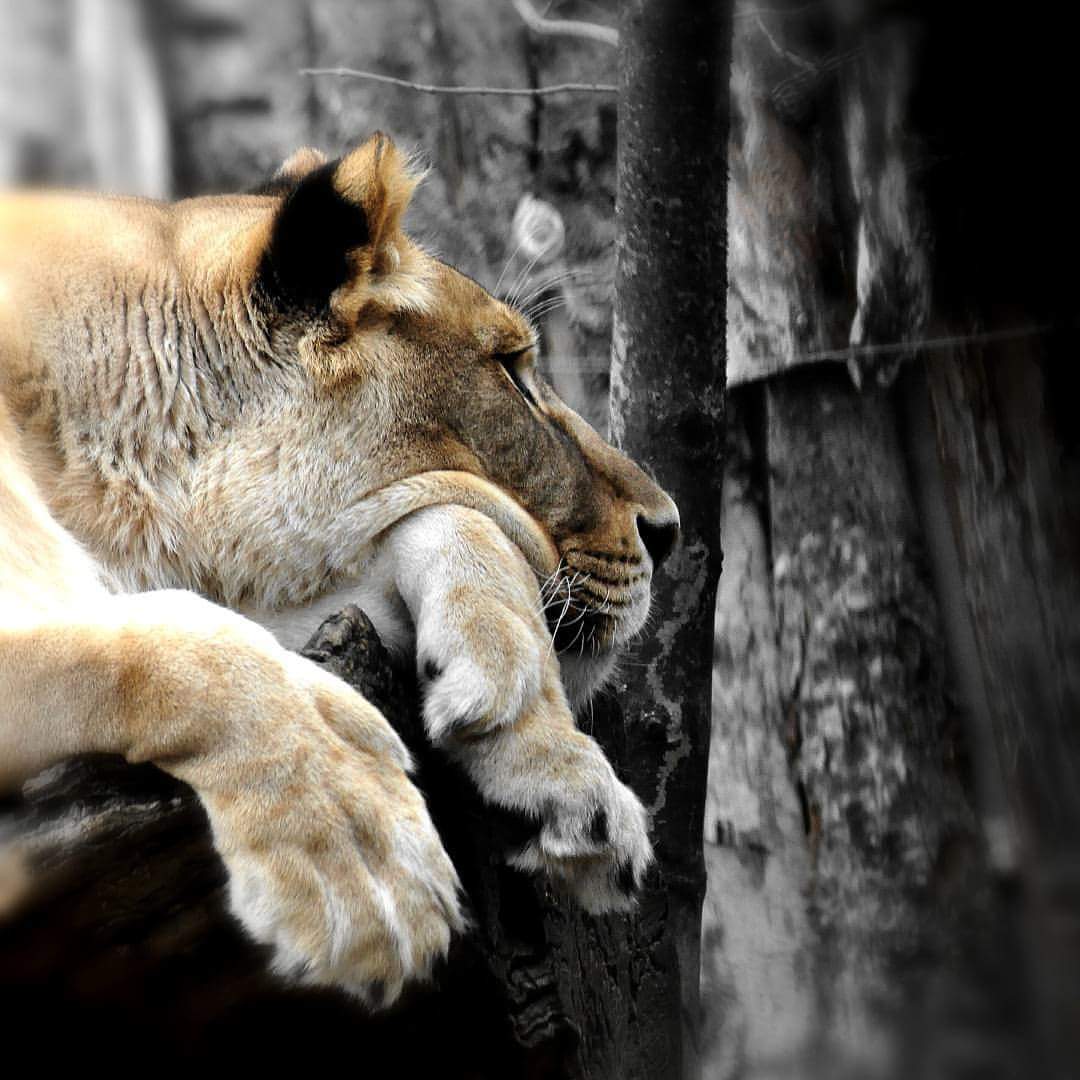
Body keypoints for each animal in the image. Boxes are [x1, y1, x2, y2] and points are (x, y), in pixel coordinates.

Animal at [0, 134, 679, 1006]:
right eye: (512, 370)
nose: (669, 529)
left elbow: (457, 519)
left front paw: (550, 758)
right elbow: (189, 646)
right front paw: (361, 863)